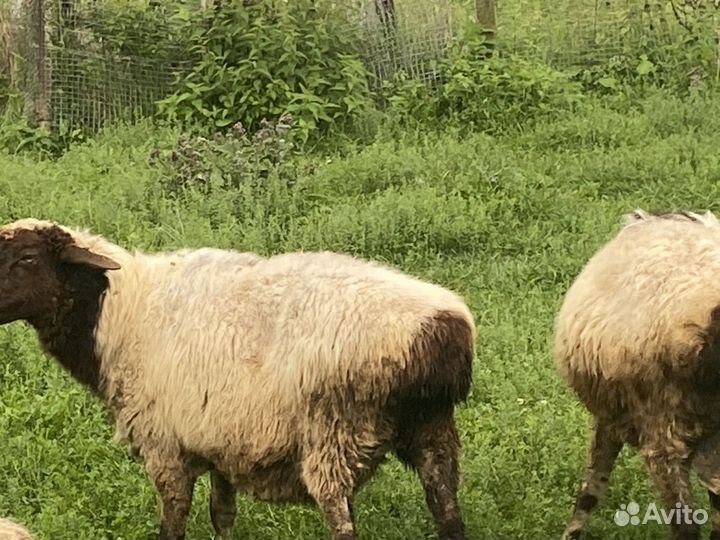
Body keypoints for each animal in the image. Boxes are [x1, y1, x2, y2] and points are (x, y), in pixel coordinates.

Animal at [0, 218, 476, 540]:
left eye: (27, 258)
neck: (118, 312)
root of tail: (444, 332)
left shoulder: (164, 444)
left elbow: (173, 521)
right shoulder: (221, 442)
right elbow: (221, 515)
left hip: (334, 439)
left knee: (343, 525)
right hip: (431, 429)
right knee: (448, 511)